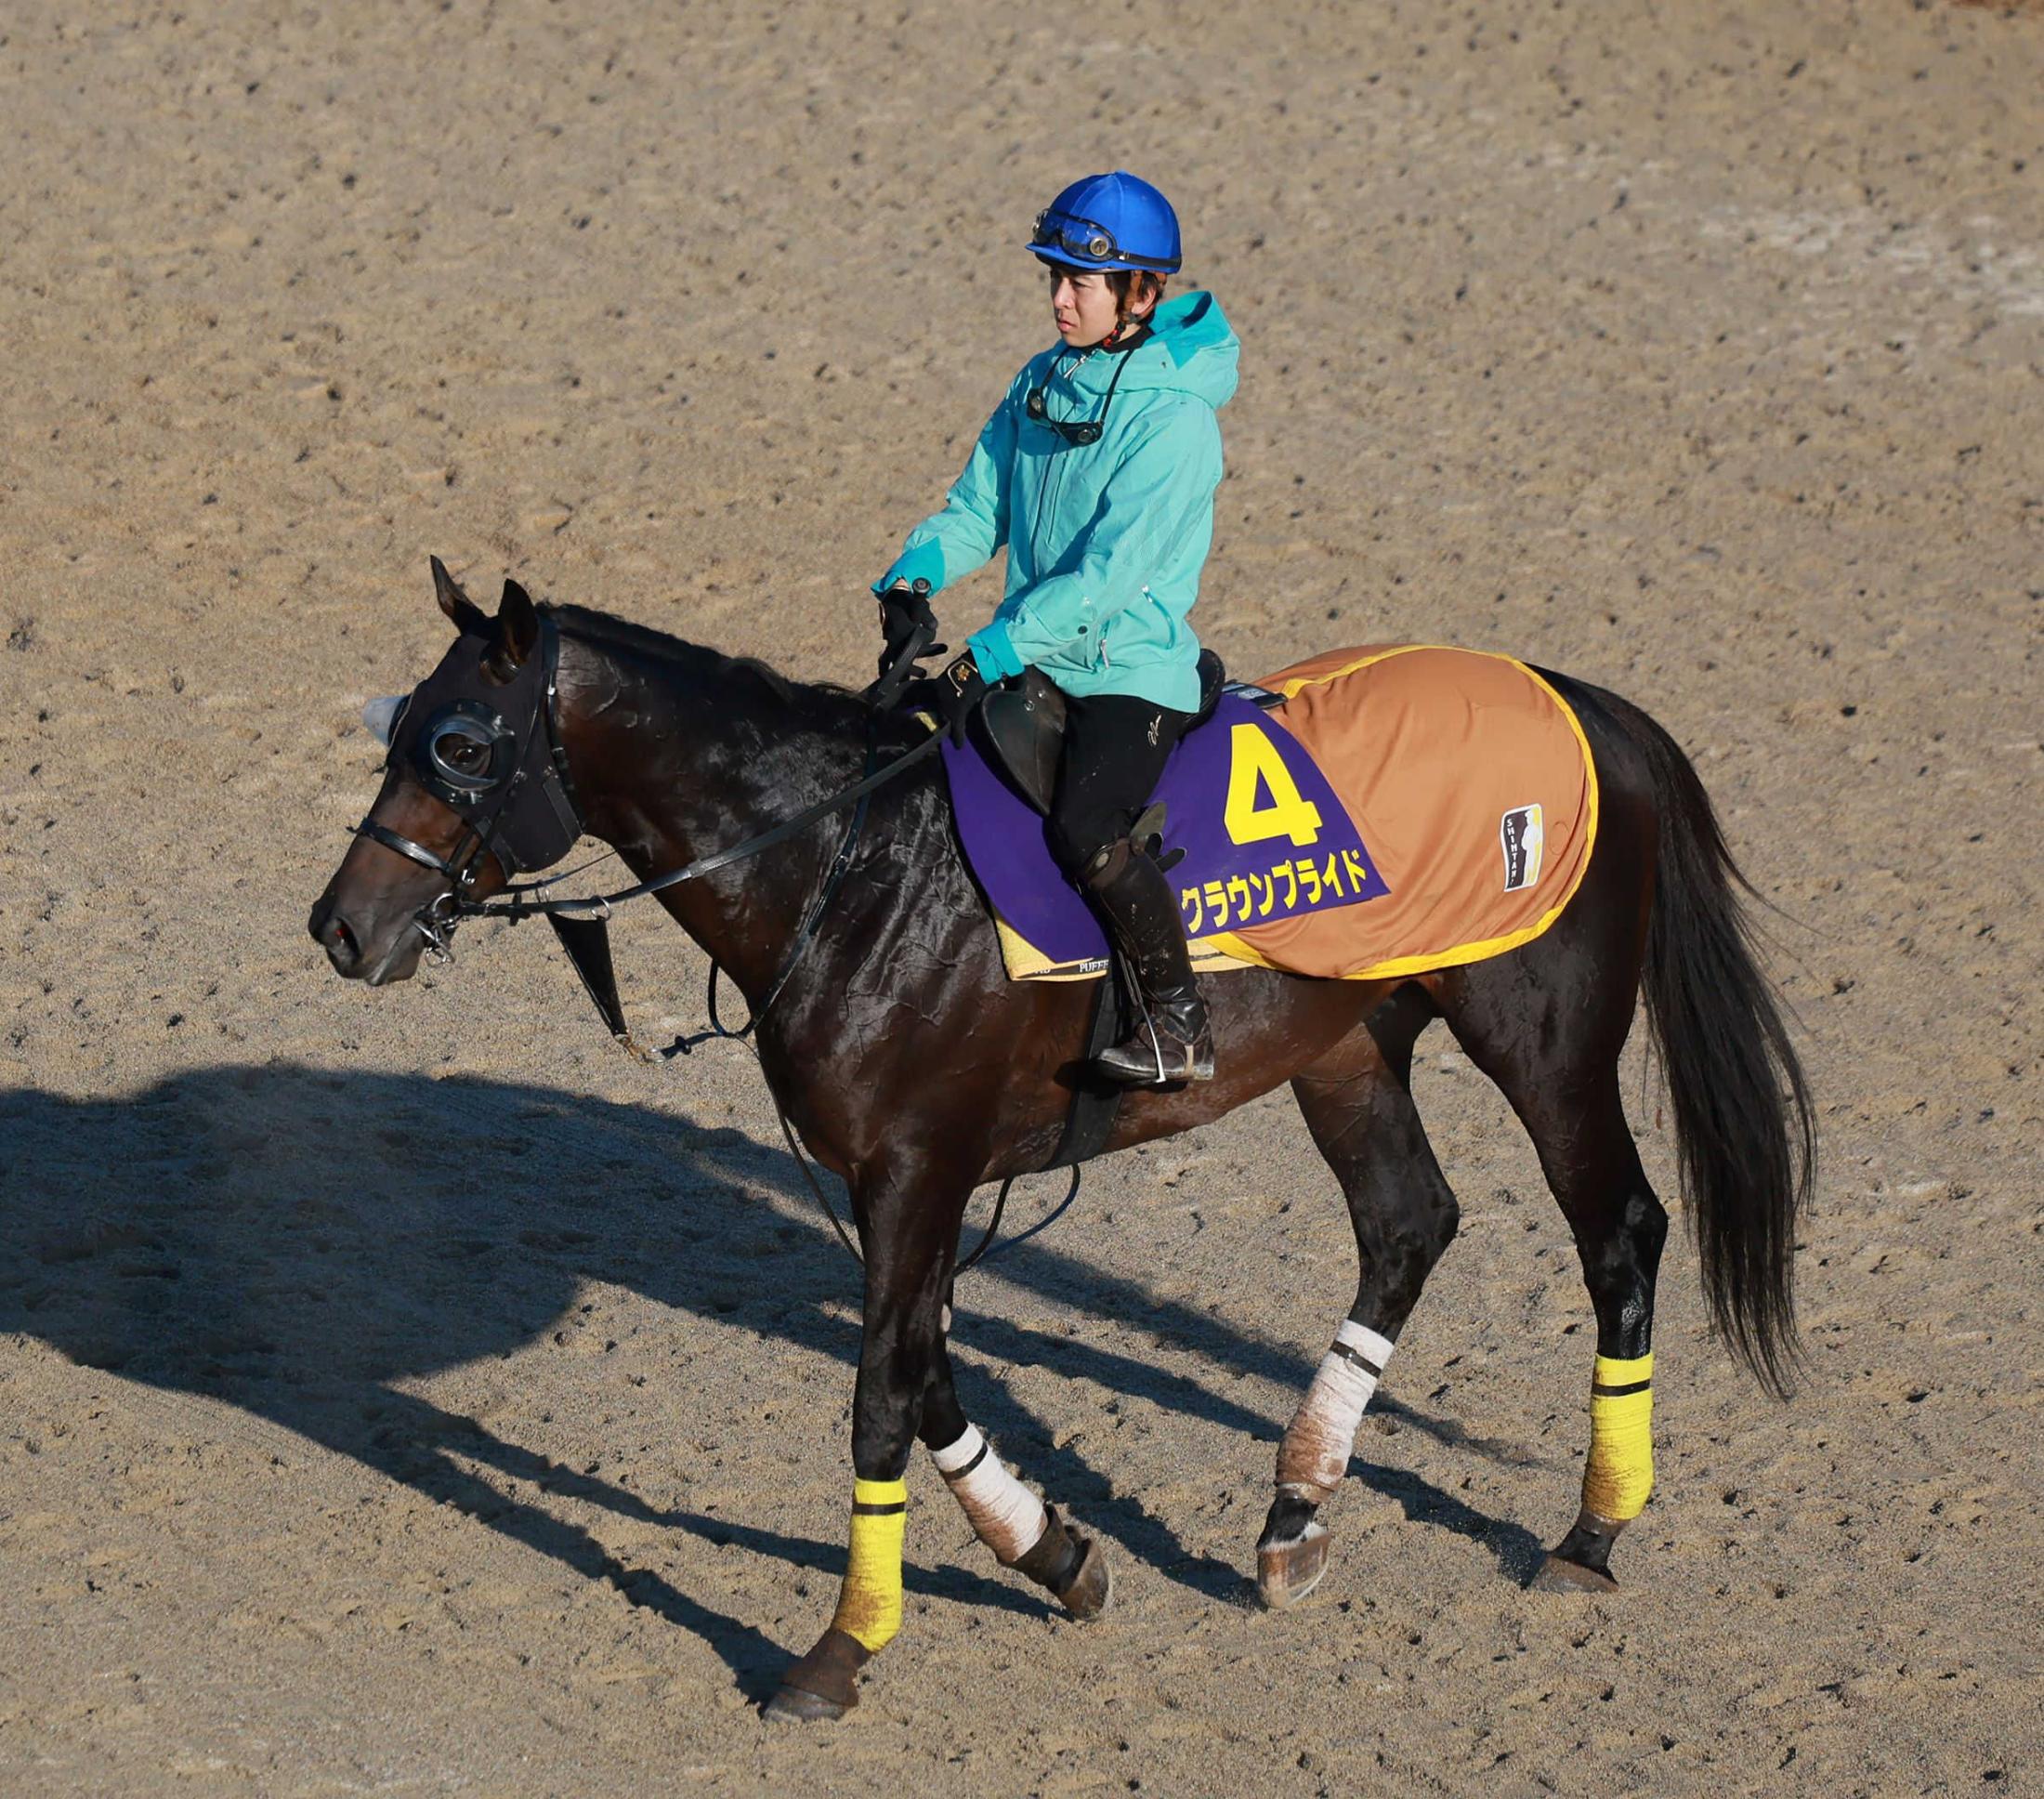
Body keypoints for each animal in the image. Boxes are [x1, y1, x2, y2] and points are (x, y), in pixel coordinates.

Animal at [307, 564, 1823, 1717]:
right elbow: (926, 1377)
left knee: (1618, 1231)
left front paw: (840, 1649)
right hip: (1342, 1047)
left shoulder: (916, 1171)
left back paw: (1590, 1533)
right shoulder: (899, 1184)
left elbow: (880, 1395)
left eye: (462, 745)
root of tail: (1582, 702)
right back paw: (1295, 1515)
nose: (340, 928)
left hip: (1542, 1038)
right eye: (401, 728)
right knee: (1408, 1223)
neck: (853, 867)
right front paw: (1061, 1556)